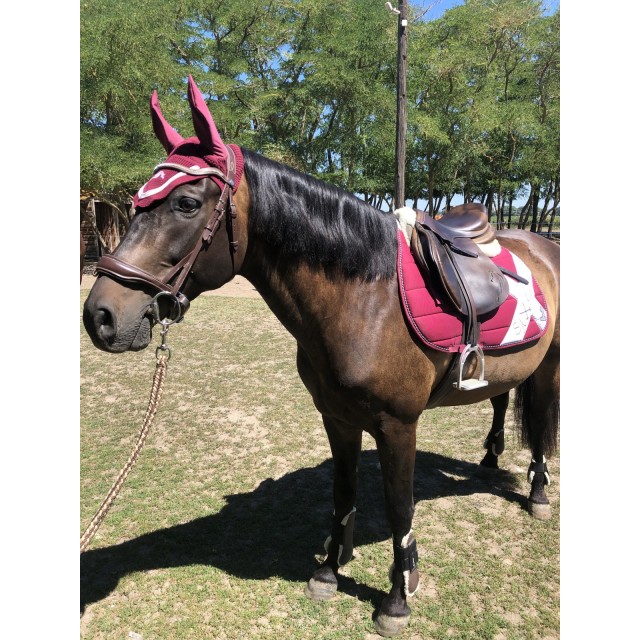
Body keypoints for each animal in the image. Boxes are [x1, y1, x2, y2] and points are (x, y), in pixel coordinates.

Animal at [83, 76, 559, 638]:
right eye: (136, 203)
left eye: (185, 203)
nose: (101, 315)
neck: (366, 300)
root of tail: (542, 243)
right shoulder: (337, 417)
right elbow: (343, 493)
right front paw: (329, 573)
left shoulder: (399, 426)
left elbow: (399, 511)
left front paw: (397, 600)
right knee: (501, 400)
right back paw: (489, 456)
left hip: (550, 370)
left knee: (542, 427)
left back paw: (538, 494)